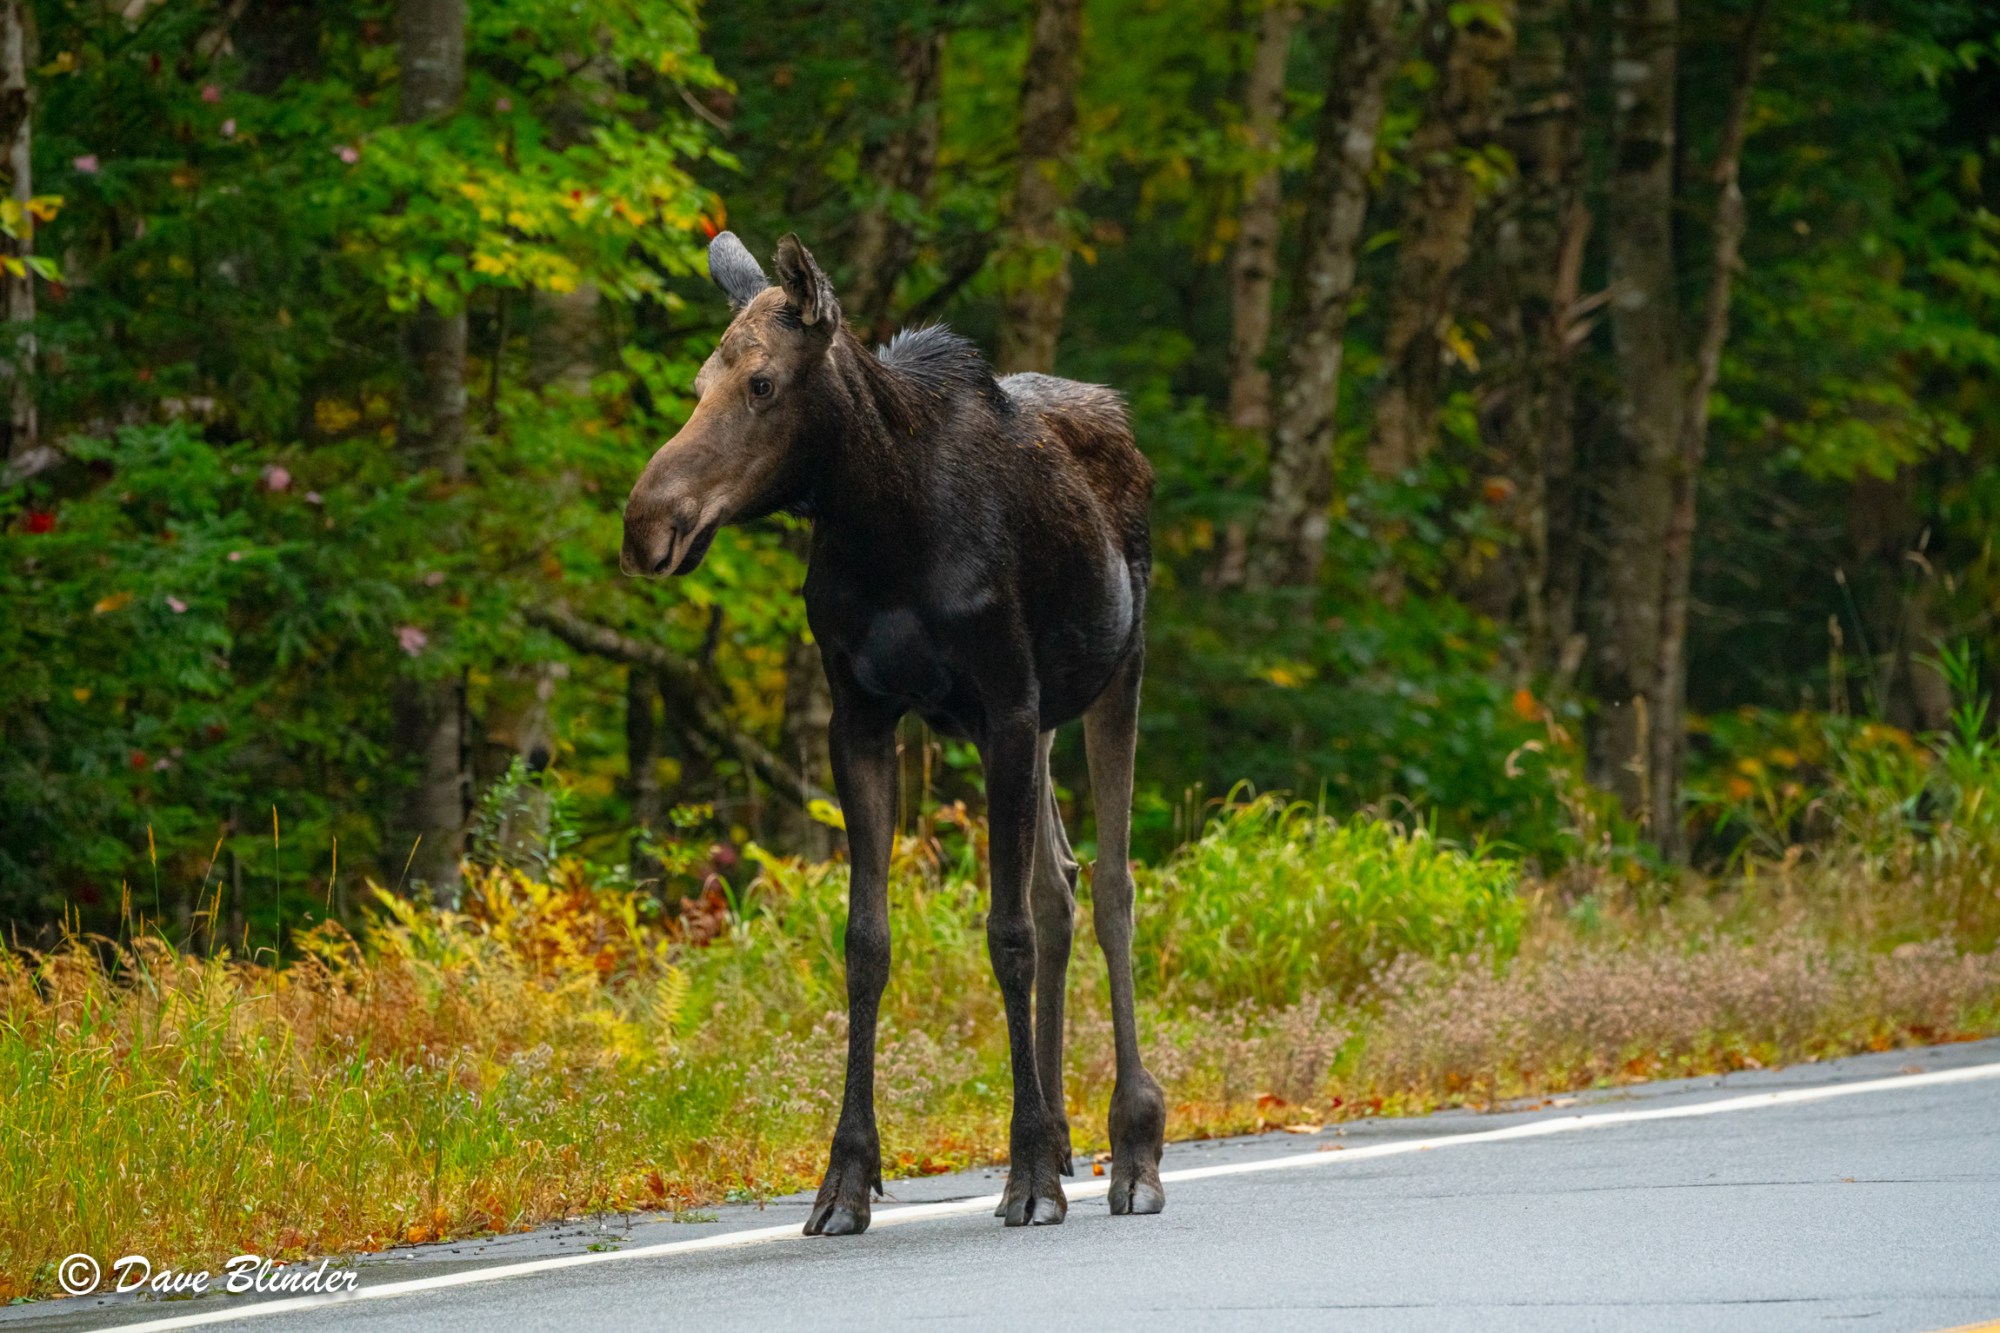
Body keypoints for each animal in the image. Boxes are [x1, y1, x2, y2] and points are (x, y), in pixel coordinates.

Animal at [621, 230, 1166, 1234]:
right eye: (697, 383)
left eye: (762, 383)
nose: (648, 523)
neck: (885, 522)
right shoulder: (864, 713)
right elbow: (866, 942)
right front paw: (847, 1176)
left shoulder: (1006, 701)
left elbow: (1005, 932)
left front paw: (1026, 1176)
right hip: (1042, 723)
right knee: (1063, 884)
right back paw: (1066, 1132)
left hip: (1117, 672)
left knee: (1112, 887)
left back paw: (1133, 1146)